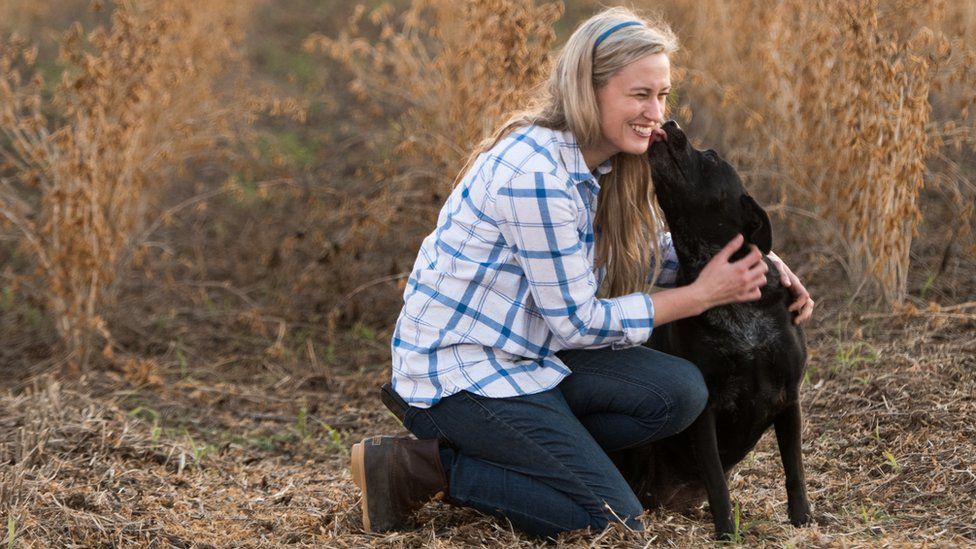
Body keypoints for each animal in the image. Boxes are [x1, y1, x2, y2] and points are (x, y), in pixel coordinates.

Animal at [612, 121, 812, 540]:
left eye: (711, 157)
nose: (670, 124)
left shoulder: (789, 398)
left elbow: (794, 468)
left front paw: (802, 517)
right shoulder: (706, 410)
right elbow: (718, 481)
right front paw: (726, 530)